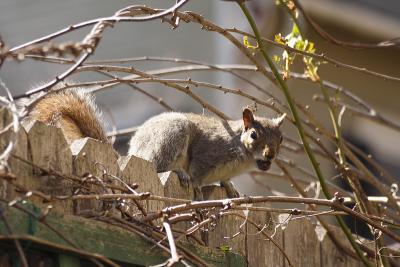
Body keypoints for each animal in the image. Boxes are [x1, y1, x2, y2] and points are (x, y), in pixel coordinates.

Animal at [25, 89, 284, 198]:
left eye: (281, 139)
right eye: (254, 135)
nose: (270, 155)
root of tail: (132, 152)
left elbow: (225, 179)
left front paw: (229, 186)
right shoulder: (208, 152)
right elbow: (198, 173)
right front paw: (199, 188)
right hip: (171, 135)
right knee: (159, 166)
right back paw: (180, 173)